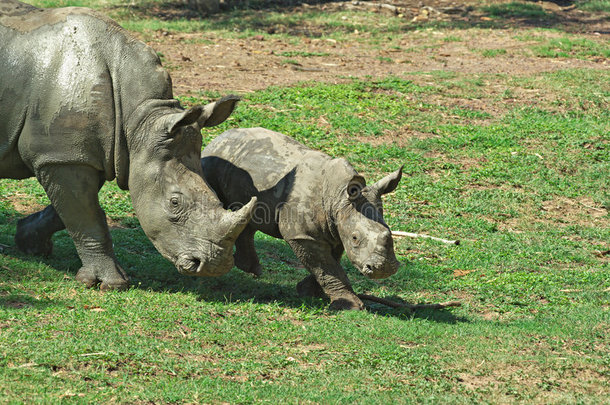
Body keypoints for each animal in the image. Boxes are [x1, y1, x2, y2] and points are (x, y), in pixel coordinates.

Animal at [0, 0, 256, 290]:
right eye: (174, 202)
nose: (214, 266)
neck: (139, 121)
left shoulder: (83, 154)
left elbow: (67, 210)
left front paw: (30, 242)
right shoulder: (61, 156)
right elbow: (86, 217)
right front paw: (111, 283)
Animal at [200, 127, 402, 310]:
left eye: (388, 231)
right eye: (355, 238)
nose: (384, 269)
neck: (338, 198)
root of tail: (218, 137)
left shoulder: (335, 227)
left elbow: (331, 262)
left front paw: (309, 291)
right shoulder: (302, 235)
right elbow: (326, 266)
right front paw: (349, 306)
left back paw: (251, 269)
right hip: (211, 163)